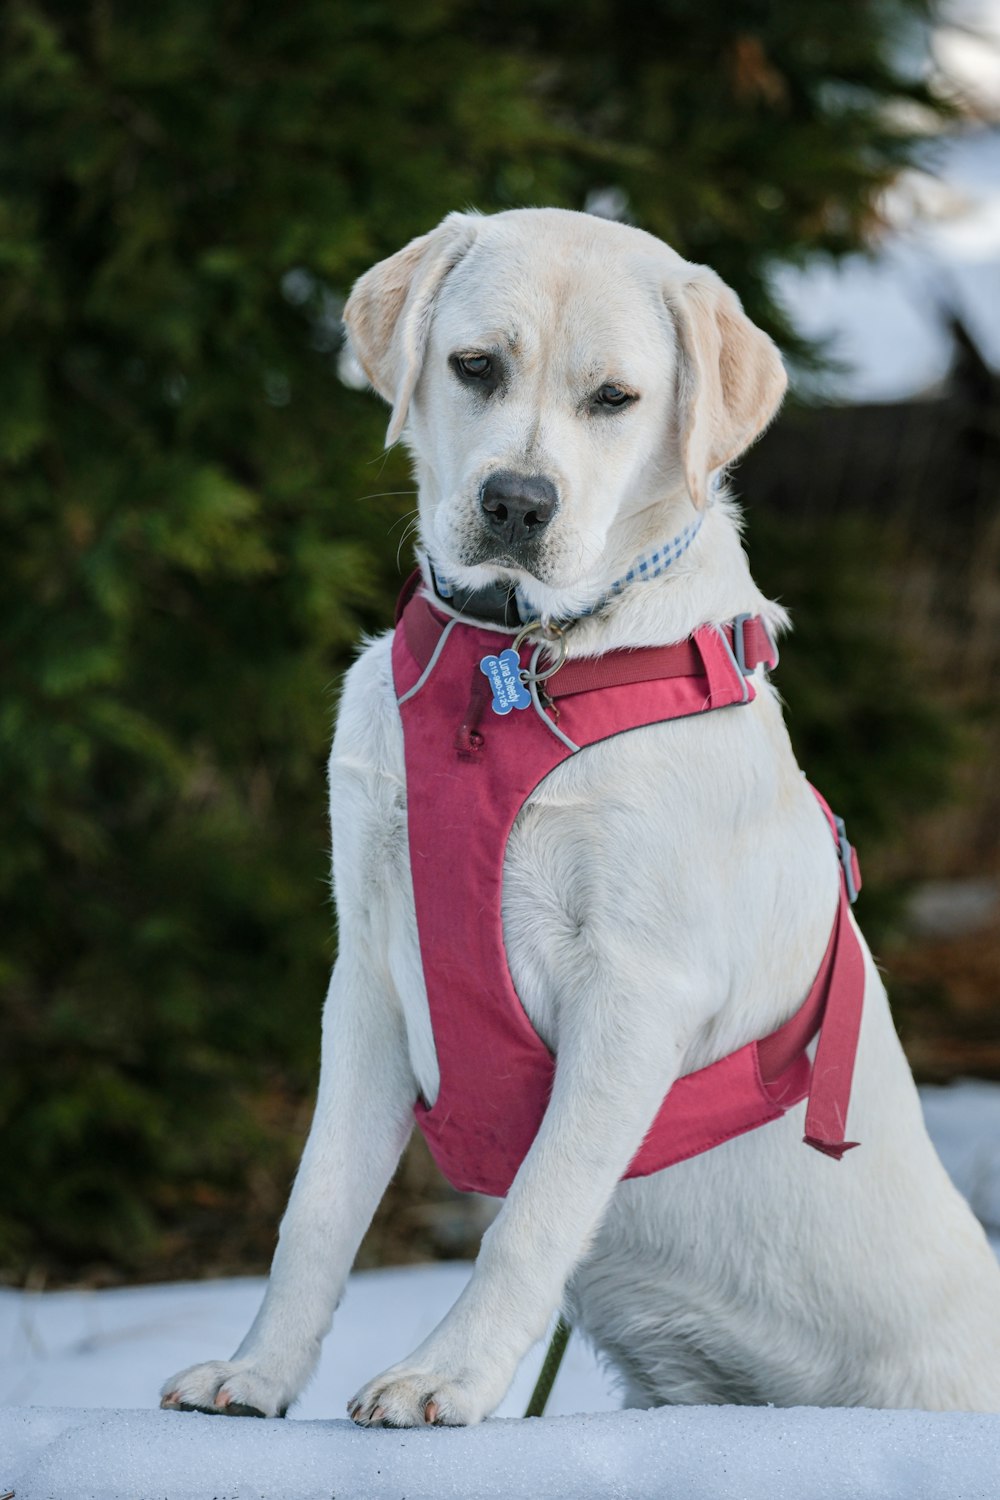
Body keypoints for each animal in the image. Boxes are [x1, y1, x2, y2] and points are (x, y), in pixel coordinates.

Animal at [160, 208, 995, 1416]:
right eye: (474, 366)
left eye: (615, 398)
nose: (517, 503)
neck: (513, 659)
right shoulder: (368, 966)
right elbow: (314, 1210)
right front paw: (258, 1373)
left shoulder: (636, 988)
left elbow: (531, 1215)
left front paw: (444, 1377)